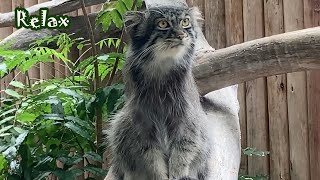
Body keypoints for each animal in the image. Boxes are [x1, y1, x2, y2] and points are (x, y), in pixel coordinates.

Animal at [107, 5, 212, 180]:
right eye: (163, 24)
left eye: (185, 22)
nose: (181, 35)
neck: (161, 71)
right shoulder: (141, 123)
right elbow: (152, 159)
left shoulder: (187, 119)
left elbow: (182, 151)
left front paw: (177, 174)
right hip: (122, 121)